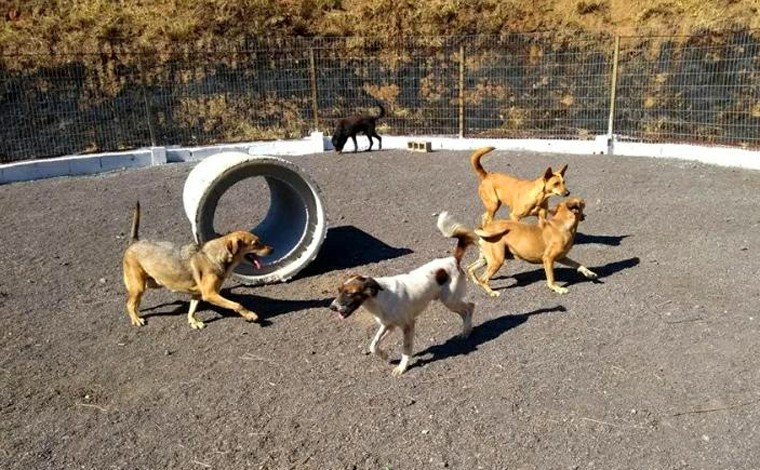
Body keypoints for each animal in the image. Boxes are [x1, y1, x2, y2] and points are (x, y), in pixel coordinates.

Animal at [124, 200, 276, 328]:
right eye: (255, 243)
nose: (272, 249)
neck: (217, 255)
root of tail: (135, 242)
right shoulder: (210, 294)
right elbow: (237, 304)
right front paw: (250, 315)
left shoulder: (197, 294)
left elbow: (192, 309)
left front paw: (193, 321)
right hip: (139, 286)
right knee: (129, 304)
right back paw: (136, 319)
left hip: (151, 283)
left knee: (135, 301)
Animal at [330, 215, 478, 376]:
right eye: (339, 290)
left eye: (349, 293)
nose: (332, 307)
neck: (379, 298)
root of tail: (453, 259)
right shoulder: (388, 325)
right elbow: (373, 345)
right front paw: (385, 356)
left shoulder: (408, 325)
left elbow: (406, 349)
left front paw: (402, 367)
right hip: (450, 301)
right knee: (465, 311)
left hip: (450, 300)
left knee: (470, 307)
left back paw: (466, 331)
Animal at [452, 196, 592, 296]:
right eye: (582, 202)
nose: (583, 200)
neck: (561, 224)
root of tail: (485, 228)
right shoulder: (548, 259)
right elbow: (551, 279)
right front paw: (558, 289)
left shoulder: (562, 257)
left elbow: (578, 264)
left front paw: (589, 273)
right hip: (497, 260)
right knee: (483, 278)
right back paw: (491, 292)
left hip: (486, 259)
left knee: (470, 268)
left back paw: (476, 282)